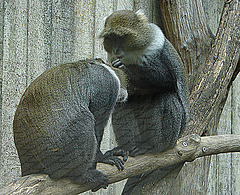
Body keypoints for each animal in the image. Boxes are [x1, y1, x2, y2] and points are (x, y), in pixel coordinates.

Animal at [12, 59, 129, 192]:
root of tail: (27, 165)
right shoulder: (107, 87)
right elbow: (97, 125)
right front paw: (103, 157)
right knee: (85, 119)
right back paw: (81, 175)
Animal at [100, 10, 188, 193]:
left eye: (124, 37)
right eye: (111, 38)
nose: (117, 50)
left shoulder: (156, 46)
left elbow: (167, 79)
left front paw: (126, 69)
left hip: (173, 135)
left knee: (166, 97)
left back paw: (152, 147)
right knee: (122, 105)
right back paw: (125, 148)